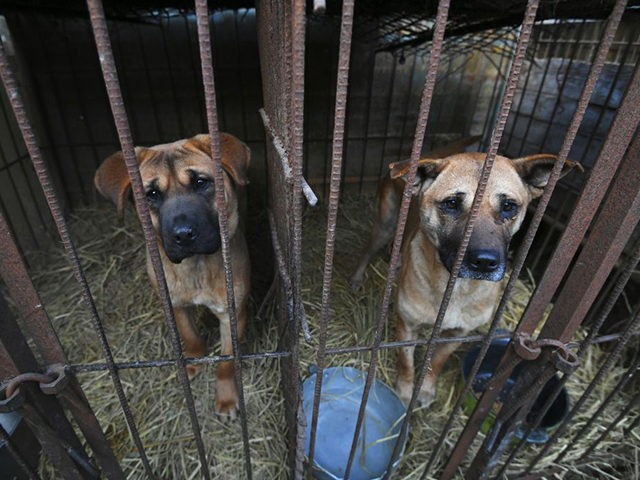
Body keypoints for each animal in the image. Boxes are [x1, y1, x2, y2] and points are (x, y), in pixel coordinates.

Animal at [95, 133, 250, 418]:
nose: (184, 235)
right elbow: (190, 337)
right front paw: (191, 362)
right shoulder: (174, 305)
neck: (196, 267)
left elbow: (226, 362)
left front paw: (226, 398)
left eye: (201, 182)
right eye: (152, 194)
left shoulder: (232, 315)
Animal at [350, 150, 580, 404]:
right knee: (367, 251)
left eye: (508, 206)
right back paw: (357, 279)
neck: (456, 288)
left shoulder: (456, 335)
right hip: (385, 225)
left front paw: (426, 389)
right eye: (452, 204)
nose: (485, 262)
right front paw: (404, 392)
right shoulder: (407, 328)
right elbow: (406, 363)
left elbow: (436, 362)